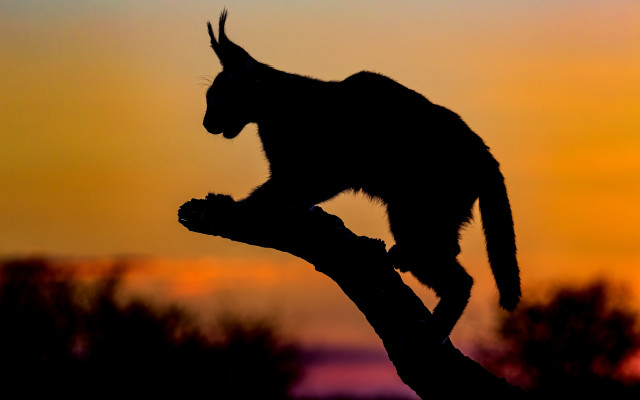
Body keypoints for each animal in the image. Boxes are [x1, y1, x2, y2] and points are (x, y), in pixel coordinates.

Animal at [202, 10, 520, 343]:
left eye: (218, 98)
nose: (206, 123)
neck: (275, 109)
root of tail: (486, 155)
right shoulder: (293, 173)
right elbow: (285, 195)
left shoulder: (323, 171)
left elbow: (271, 195)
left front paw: (229, 206)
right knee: (452, 259)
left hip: (413, 213)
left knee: (459, 277)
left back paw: (431, 329)